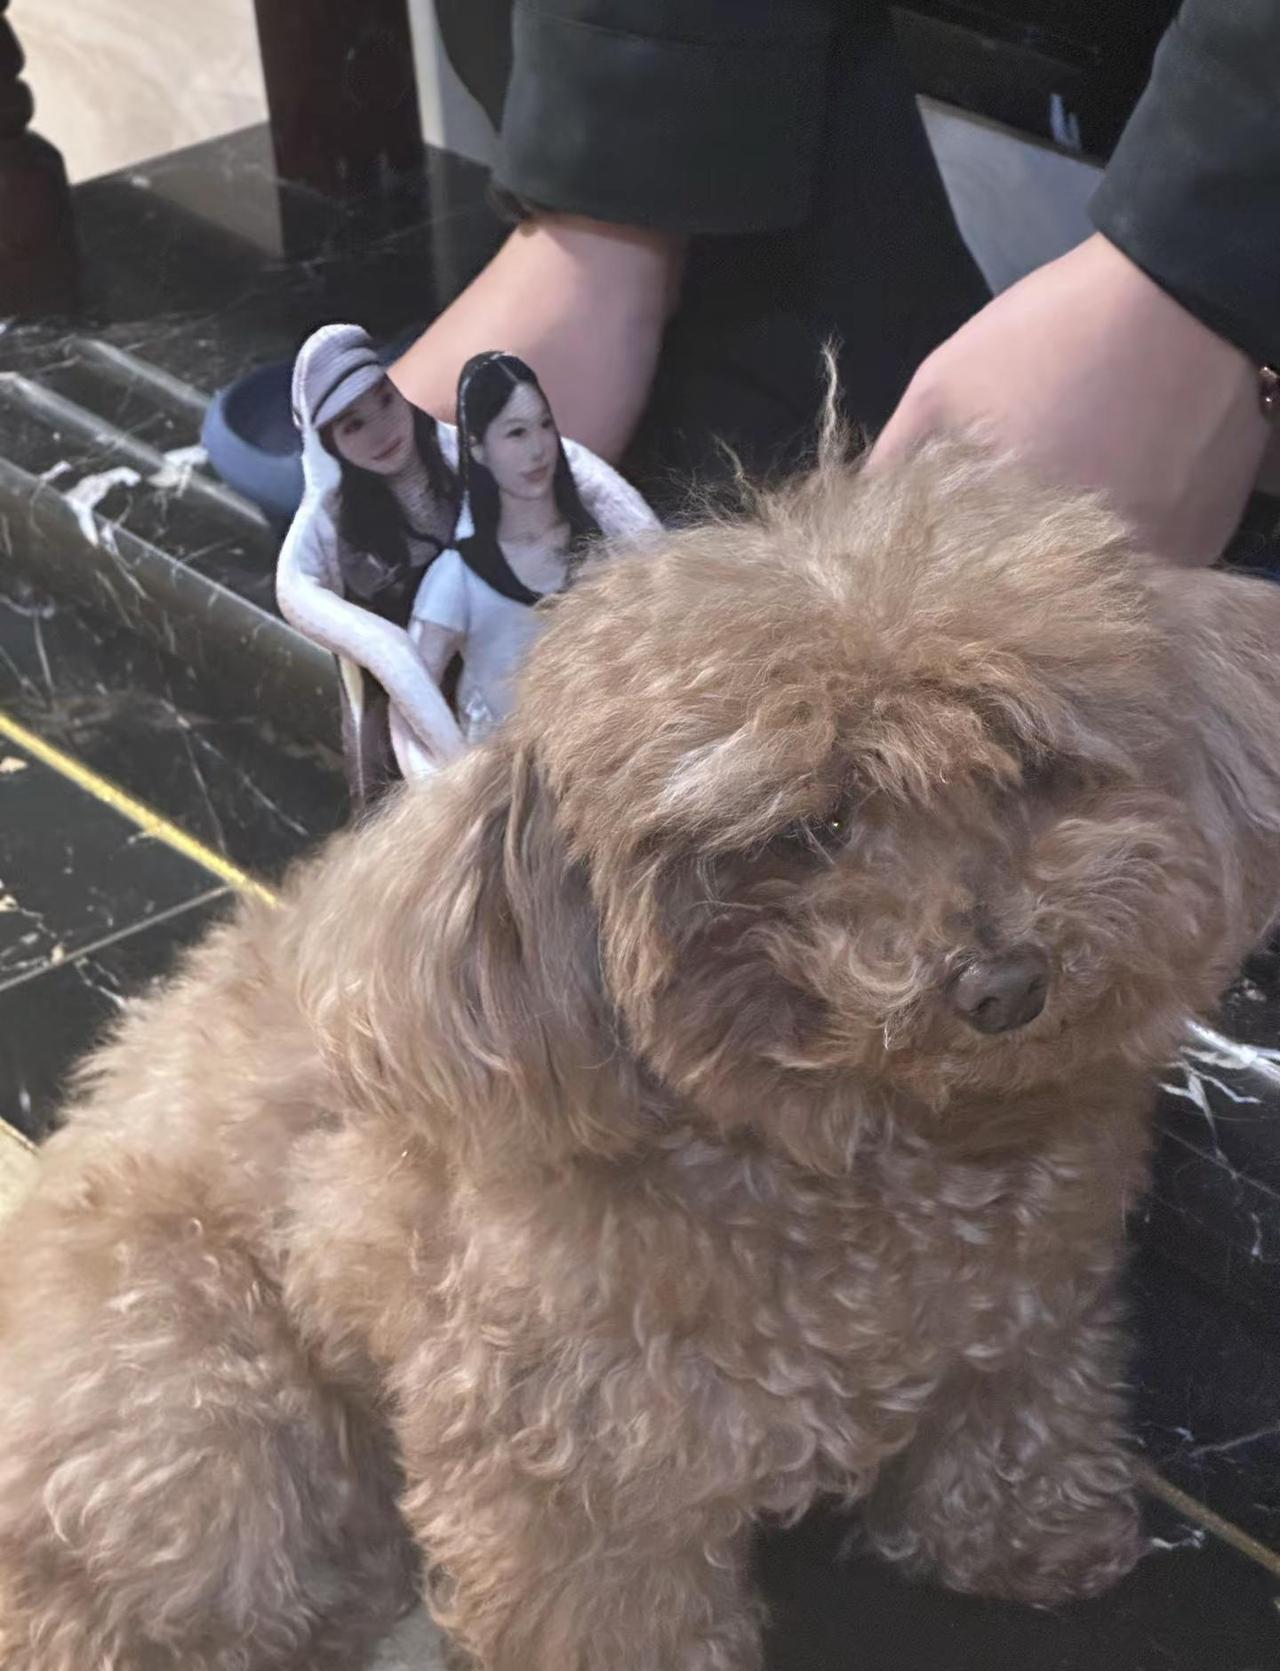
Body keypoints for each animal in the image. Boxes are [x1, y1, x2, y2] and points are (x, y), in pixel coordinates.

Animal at [2, 441, 1279, 1671]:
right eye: (812, 826)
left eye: (1023, 764)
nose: (1003, 984)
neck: (870, 1146)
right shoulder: (572, 1461)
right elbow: (604, 1608)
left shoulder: (1034, 1310)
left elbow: (1021, 1411)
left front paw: (1036, 1544)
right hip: (205, 1426)